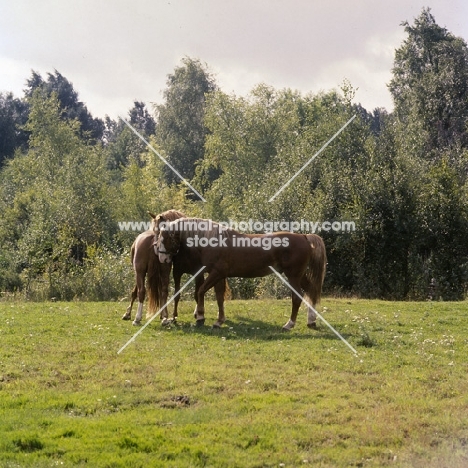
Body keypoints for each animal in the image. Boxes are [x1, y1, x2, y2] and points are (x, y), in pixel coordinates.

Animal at [157, 218, 326, 330]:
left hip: (293, 276)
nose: (162, 258)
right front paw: (219, 321)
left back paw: (289, 324)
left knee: (297, 297)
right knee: (310, 291)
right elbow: (219, 298)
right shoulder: (219, 276)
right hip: (299, 276)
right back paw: (311, 321)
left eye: (164, 238)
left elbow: (200, 291)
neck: (213, 240)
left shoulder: (216, 273)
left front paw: (200, 317)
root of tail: (304, 237)